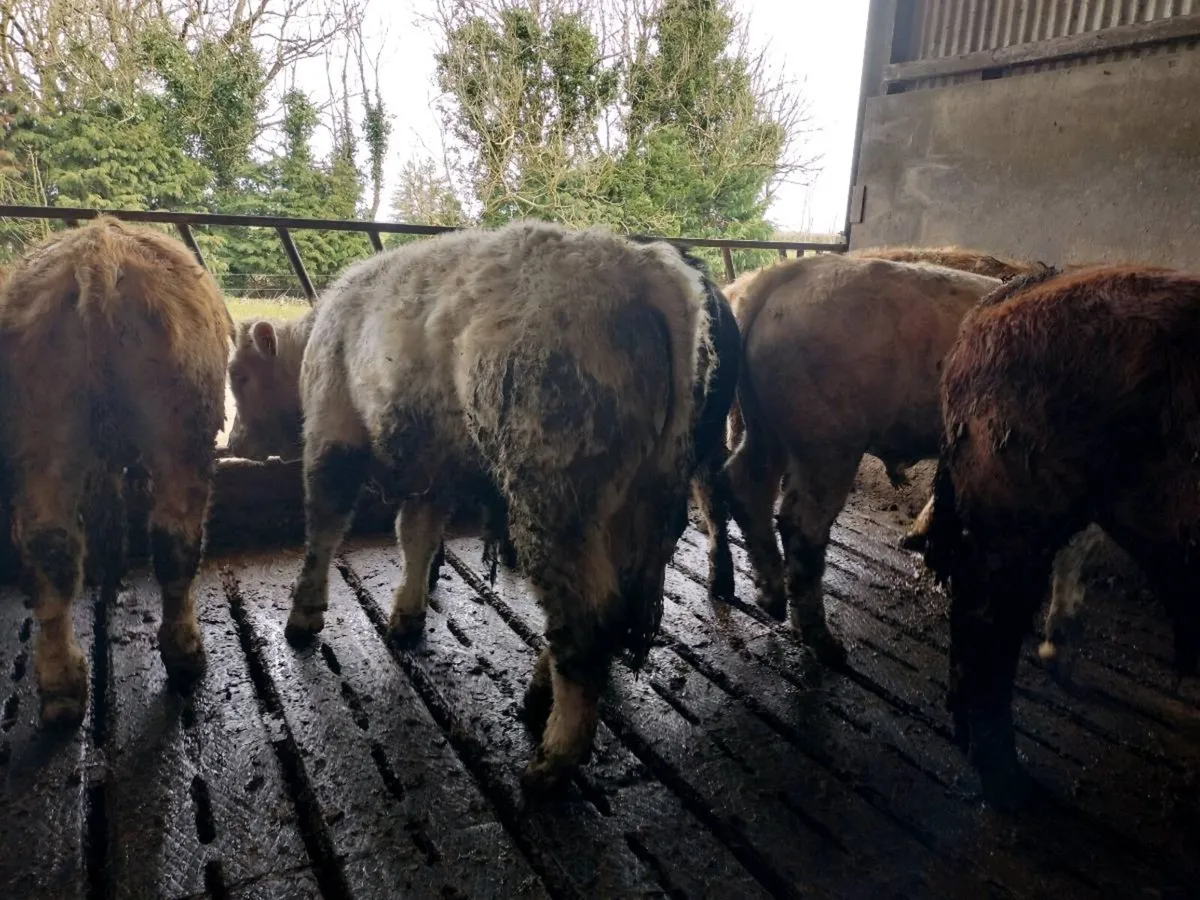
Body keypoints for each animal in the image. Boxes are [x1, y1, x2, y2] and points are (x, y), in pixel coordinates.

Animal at [246, 220, 727, 792]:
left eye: (239, 374)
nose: (237, 443)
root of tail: (647, 270)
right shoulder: (432, 466)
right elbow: (417, 535)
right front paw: (407, 613)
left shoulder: (330, 432)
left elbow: (324, 526)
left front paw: (303, 618)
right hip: (636, 505)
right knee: (602, 608)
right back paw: (540, 696)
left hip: (553, 499)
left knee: (585, 619)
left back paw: (554, 757)